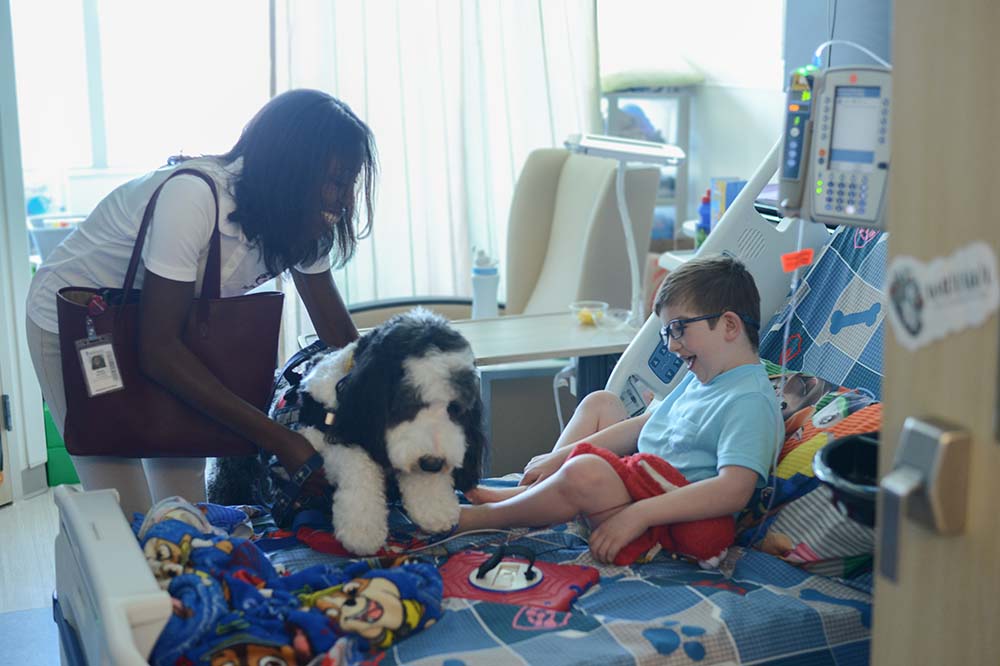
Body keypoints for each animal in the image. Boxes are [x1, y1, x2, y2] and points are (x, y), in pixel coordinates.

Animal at [211, 308, 484, 552]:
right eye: (406, 403)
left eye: (456, 409)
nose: (433, 463)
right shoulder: (318, 438)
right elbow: (357, 461)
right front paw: (362, 528)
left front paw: (435, 506)